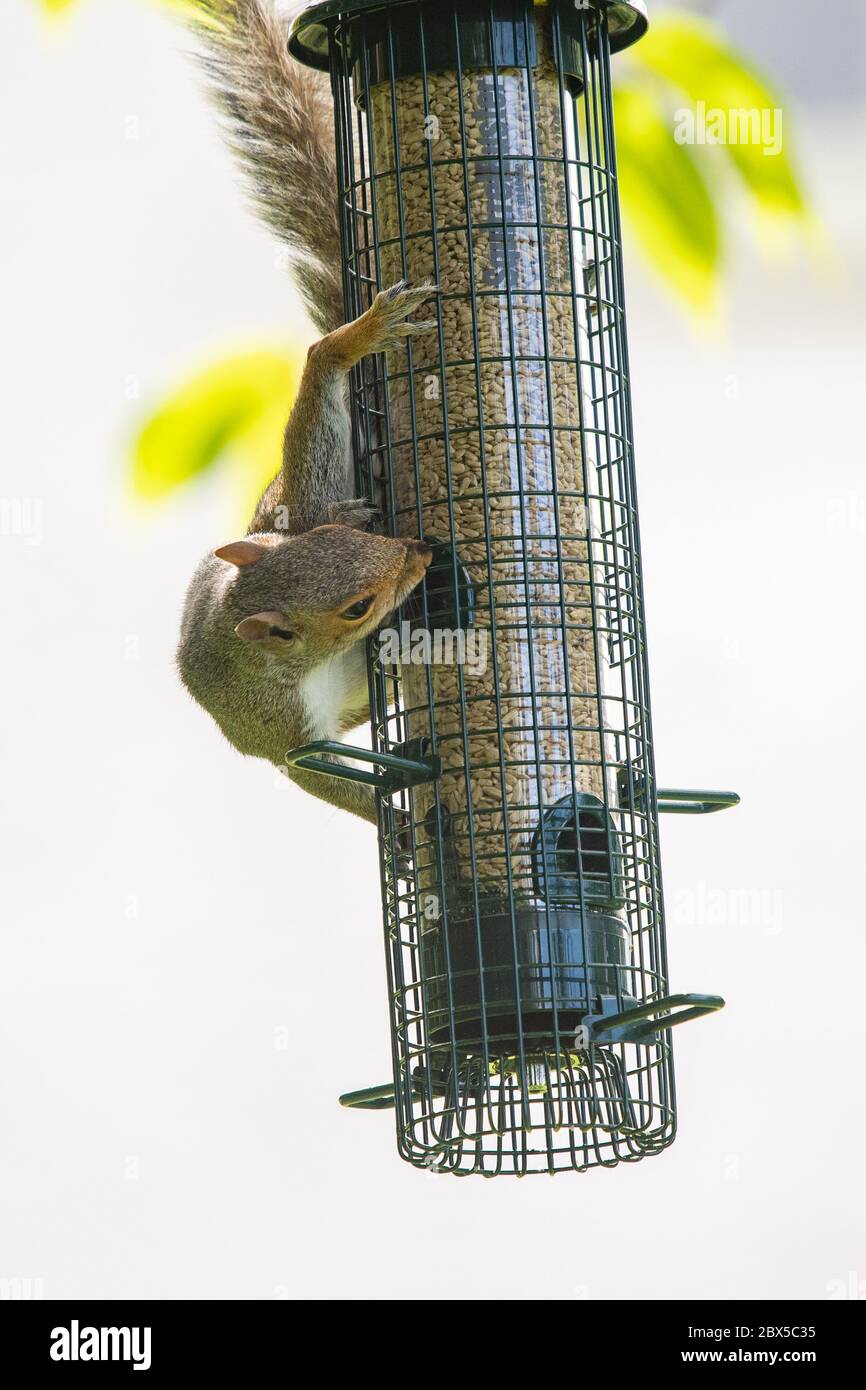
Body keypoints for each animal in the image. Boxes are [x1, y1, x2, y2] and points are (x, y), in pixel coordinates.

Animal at [177, 2, 436, 822]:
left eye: (334, 543)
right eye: (354, 607)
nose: (416, 552)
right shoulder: (284, 734)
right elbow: (320, 778)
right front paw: (412, 817)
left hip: (299, 490)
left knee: (320, 390)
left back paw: (355, 342)